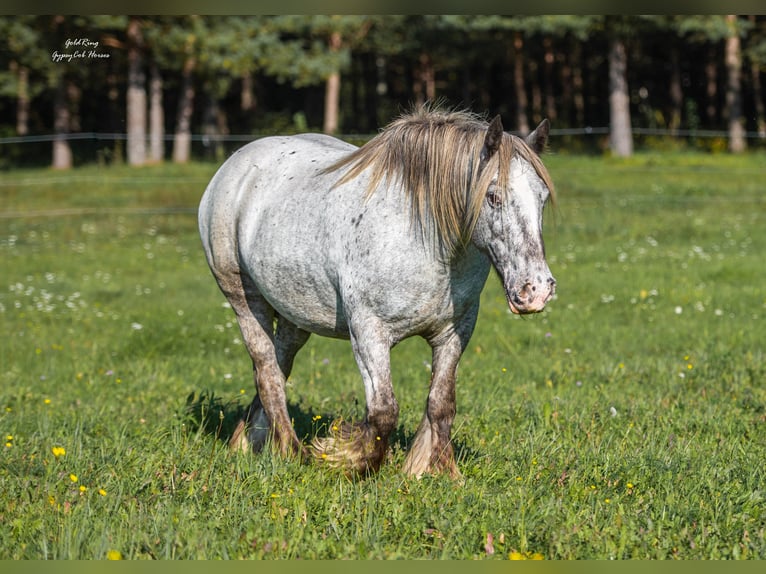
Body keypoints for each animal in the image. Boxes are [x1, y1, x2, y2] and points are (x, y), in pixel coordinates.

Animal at [198, 109, 560, 482]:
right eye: (493, 196)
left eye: (542, 197)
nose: (535, 290)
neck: (426, 237)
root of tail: (236, 162)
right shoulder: (369, 333)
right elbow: (384, 410)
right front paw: (348, 460)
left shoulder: (454, 331)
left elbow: (441, 404)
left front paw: (440, 471)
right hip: (245, 299)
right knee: (267, 369)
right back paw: (292, 452)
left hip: (293, 315)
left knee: (278, 364)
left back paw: (249, 442)